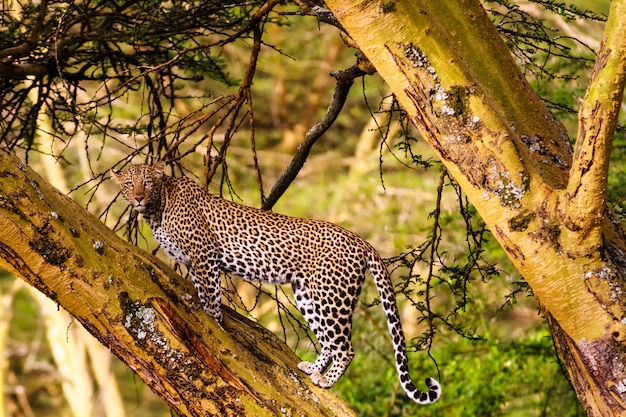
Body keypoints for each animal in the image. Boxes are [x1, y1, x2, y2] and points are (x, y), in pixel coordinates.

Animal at [113, 160, 444, 404]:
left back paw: (326, 380)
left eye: (148, 183)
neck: (157, 209)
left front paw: (214, 325)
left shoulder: (204, 256)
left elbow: (211, 298)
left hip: (331, 297)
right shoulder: (195, 264)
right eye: (129, 184)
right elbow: (204, 294)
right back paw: (312, 368)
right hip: (308, 294)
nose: (138, 197)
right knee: (328, 341)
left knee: (344, 346)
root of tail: (360, 240)